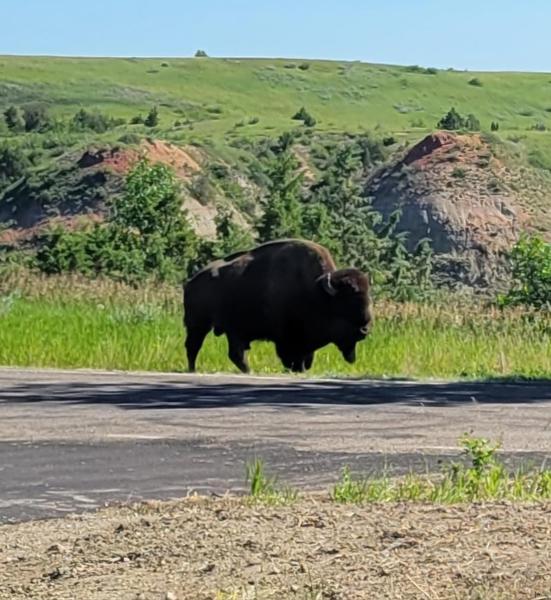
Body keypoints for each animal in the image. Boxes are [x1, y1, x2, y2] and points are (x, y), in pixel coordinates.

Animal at [183, 238, 374, 370]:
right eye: (347, 301)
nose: (365, 329)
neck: (317, 292)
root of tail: (191, 282)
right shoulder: (287, 340)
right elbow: (292, 359)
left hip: (231, 330)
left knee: (235, 354)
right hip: (199, 325)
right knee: (194, 347)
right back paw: (193, 370)